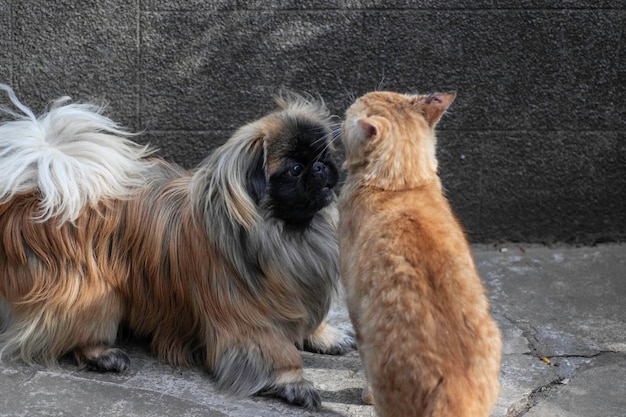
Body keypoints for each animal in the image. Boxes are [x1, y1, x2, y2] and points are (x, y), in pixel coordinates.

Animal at [0, 83, 352, 408]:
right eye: (294, 169)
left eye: (323, 156)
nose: (320, 166)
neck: (288, 233)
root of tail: (32, 199)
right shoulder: (248, 318)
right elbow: (277, 351)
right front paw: (295, 382)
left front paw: (325, 335)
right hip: (92, 292)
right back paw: (101, 354)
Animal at [336, 92, 502, 416]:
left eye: (352, 111)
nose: (343, 110)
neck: (402, 186)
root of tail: (453, 391)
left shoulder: (354, 304)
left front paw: (365, 395)